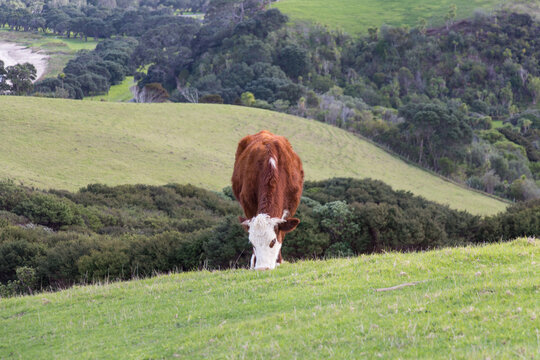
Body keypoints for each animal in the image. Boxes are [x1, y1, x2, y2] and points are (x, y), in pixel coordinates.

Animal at [232, 130, 304, 270]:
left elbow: (282, 233)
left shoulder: (289, 208)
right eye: (252, 243)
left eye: (272, 241)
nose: (262, 268)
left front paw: (278, 261)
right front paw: (254, 263)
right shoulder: (248, 205)